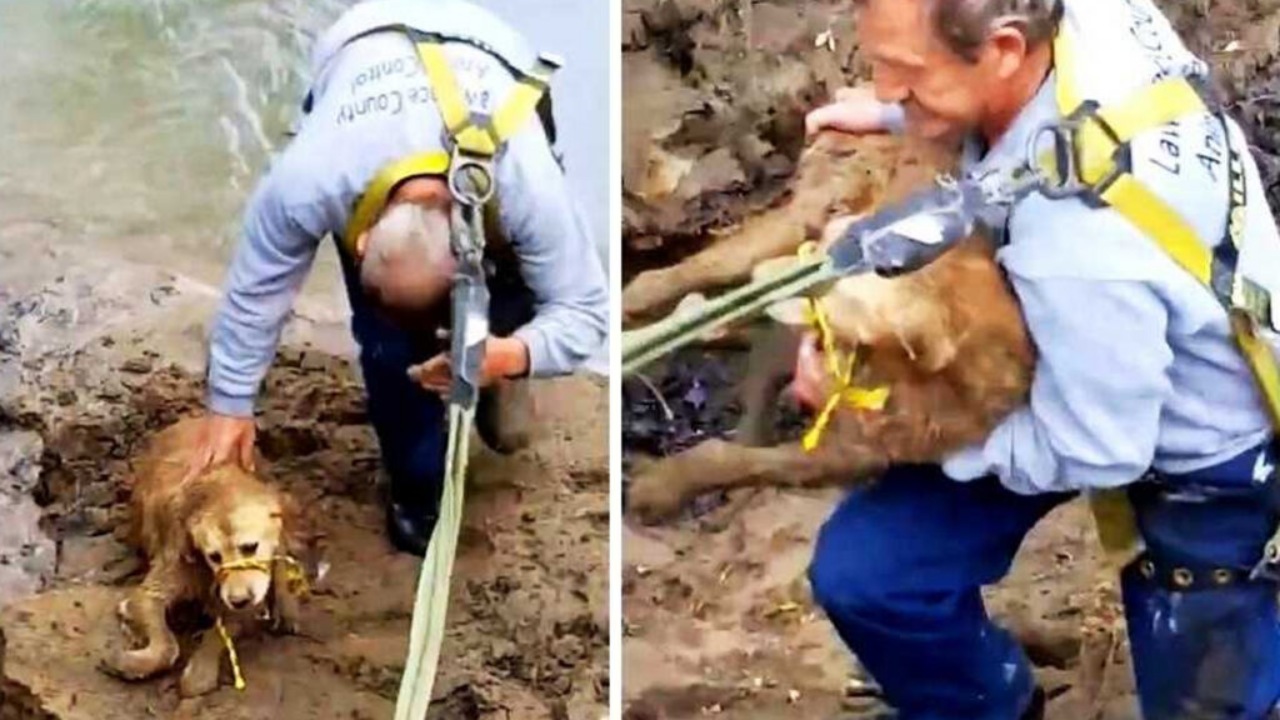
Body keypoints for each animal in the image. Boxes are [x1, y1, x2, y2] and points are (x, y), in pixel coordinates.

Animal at [101, 415, 316, 696]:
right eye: (214, 557)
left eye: (250, 547)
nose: (238, 600)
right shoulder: (156, 587)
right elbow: (166, 645)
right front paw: (127, 660)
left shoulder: (244, 605)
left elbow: (217, 634)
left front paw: (200, 672)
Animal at [624, 130, 1034, 520]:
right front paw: (664, 486)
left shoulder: (854, 451)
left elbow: (752, 459)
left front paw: (672, 484)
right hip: (781, 232)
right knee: (696, 275)